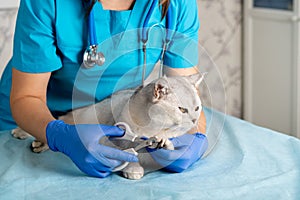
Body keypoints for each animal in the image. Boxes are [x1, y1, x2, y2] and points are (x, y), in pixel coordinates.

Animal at [11, 73, 204, 180]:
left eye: (197, 108)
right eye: (182, 109)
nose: (194, 120)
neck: (152, 129)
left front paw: (165, 144)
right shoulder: (117, 137)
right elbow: (128, 154)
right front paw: (133, 169)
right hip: (78, 120)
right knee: (57, 124)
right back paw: (27, 136)